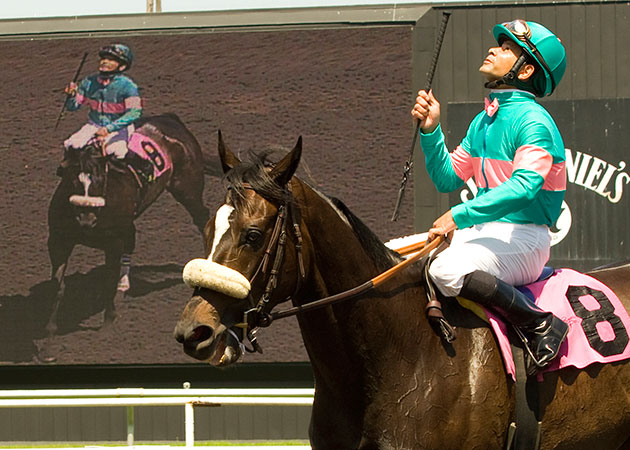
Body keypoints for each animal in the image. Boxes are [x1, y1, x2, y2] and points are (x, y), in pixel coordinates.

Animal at [45, 112, 212, 362]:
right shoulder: (58, 241)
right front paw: (49, 334)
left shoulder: (113, 242)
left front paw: (107, 324)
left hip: (188, 188)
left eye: (99, 180)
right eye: (73, 180)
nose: (86, 218)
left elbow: (107, 280)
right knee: (131, 241)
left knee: (203, 218)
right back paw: (124, 286)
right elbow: (57, 286)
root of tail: (170, 119)